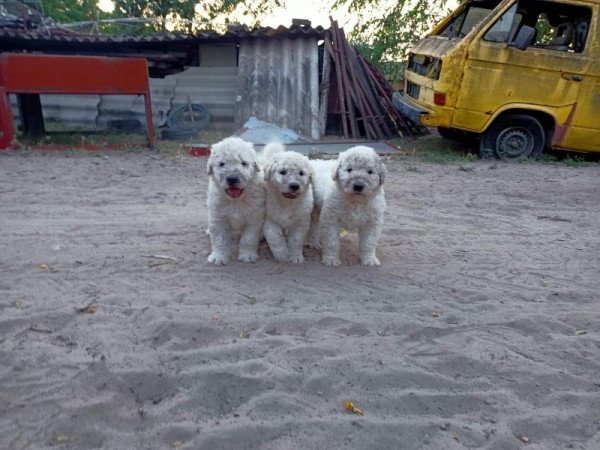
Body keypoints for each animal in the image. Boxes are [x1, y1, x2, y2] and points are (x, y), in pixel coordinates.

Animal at [205, 136, 264, 264]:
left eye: (243, 163)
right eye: (222, 164)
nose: (232, 178)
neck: (235, 201)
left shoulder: (254, 219)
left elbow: (249, 239)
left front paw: (248, 256)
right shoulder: (218, 218)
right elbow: (219, 240)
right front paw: (218, 257)